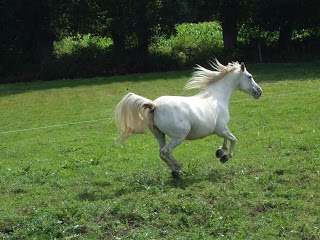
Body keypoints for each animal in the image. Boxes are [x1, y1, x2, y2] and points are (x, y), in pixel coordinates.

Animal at [114, 59, 262, 177]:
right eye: (250, 76)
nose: (259, 92)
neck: (216, 97)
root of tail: (154, 105)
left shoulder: (221, 129)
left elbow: (227, 140)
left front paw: (220, 152)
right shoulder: (221, 128)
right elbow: (233, 139)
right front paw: (225, 157)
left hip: (159, 135)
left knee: (161, 153)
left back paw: (175, 171)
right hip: (178, 137)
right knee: (166, 151)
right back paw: (178, 168)